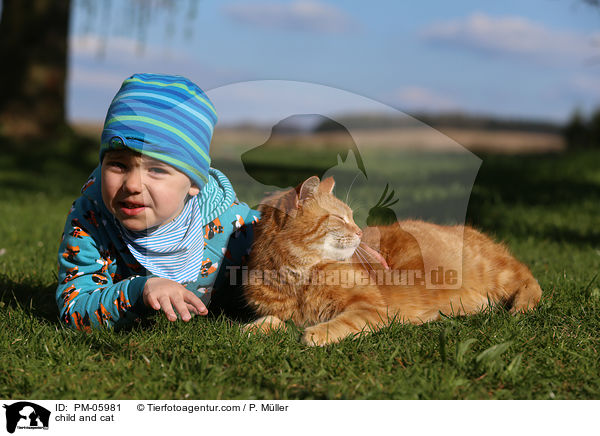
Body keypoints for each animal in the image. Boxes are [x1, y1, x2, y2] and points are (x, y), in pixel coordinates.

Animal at [241, 175, 540, 346]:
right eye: (340, 218)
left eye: (352, 217)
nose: (360, 232)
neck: (297, 277)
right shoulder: (285, 313)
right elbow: (269, 320)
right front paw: (252, 329)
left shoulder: (373, 309)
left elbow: (343, 322)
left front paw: (316, 333)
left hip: (495, 272)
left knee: (529, 281)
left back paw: (521, 307)